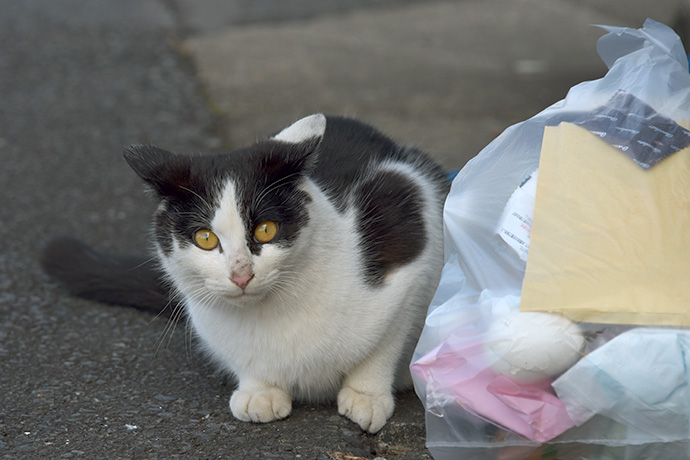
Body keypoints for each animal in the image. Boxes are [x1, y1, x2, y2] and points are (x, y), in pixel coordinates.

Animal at [45, 113, 448, 434]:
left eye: (266, 230)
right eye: (205, 238)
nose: (241, 275)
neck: (275, 312)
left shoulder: (408, 223)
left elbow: (384, 345)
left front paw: (367, 394)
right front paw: (260, 391)